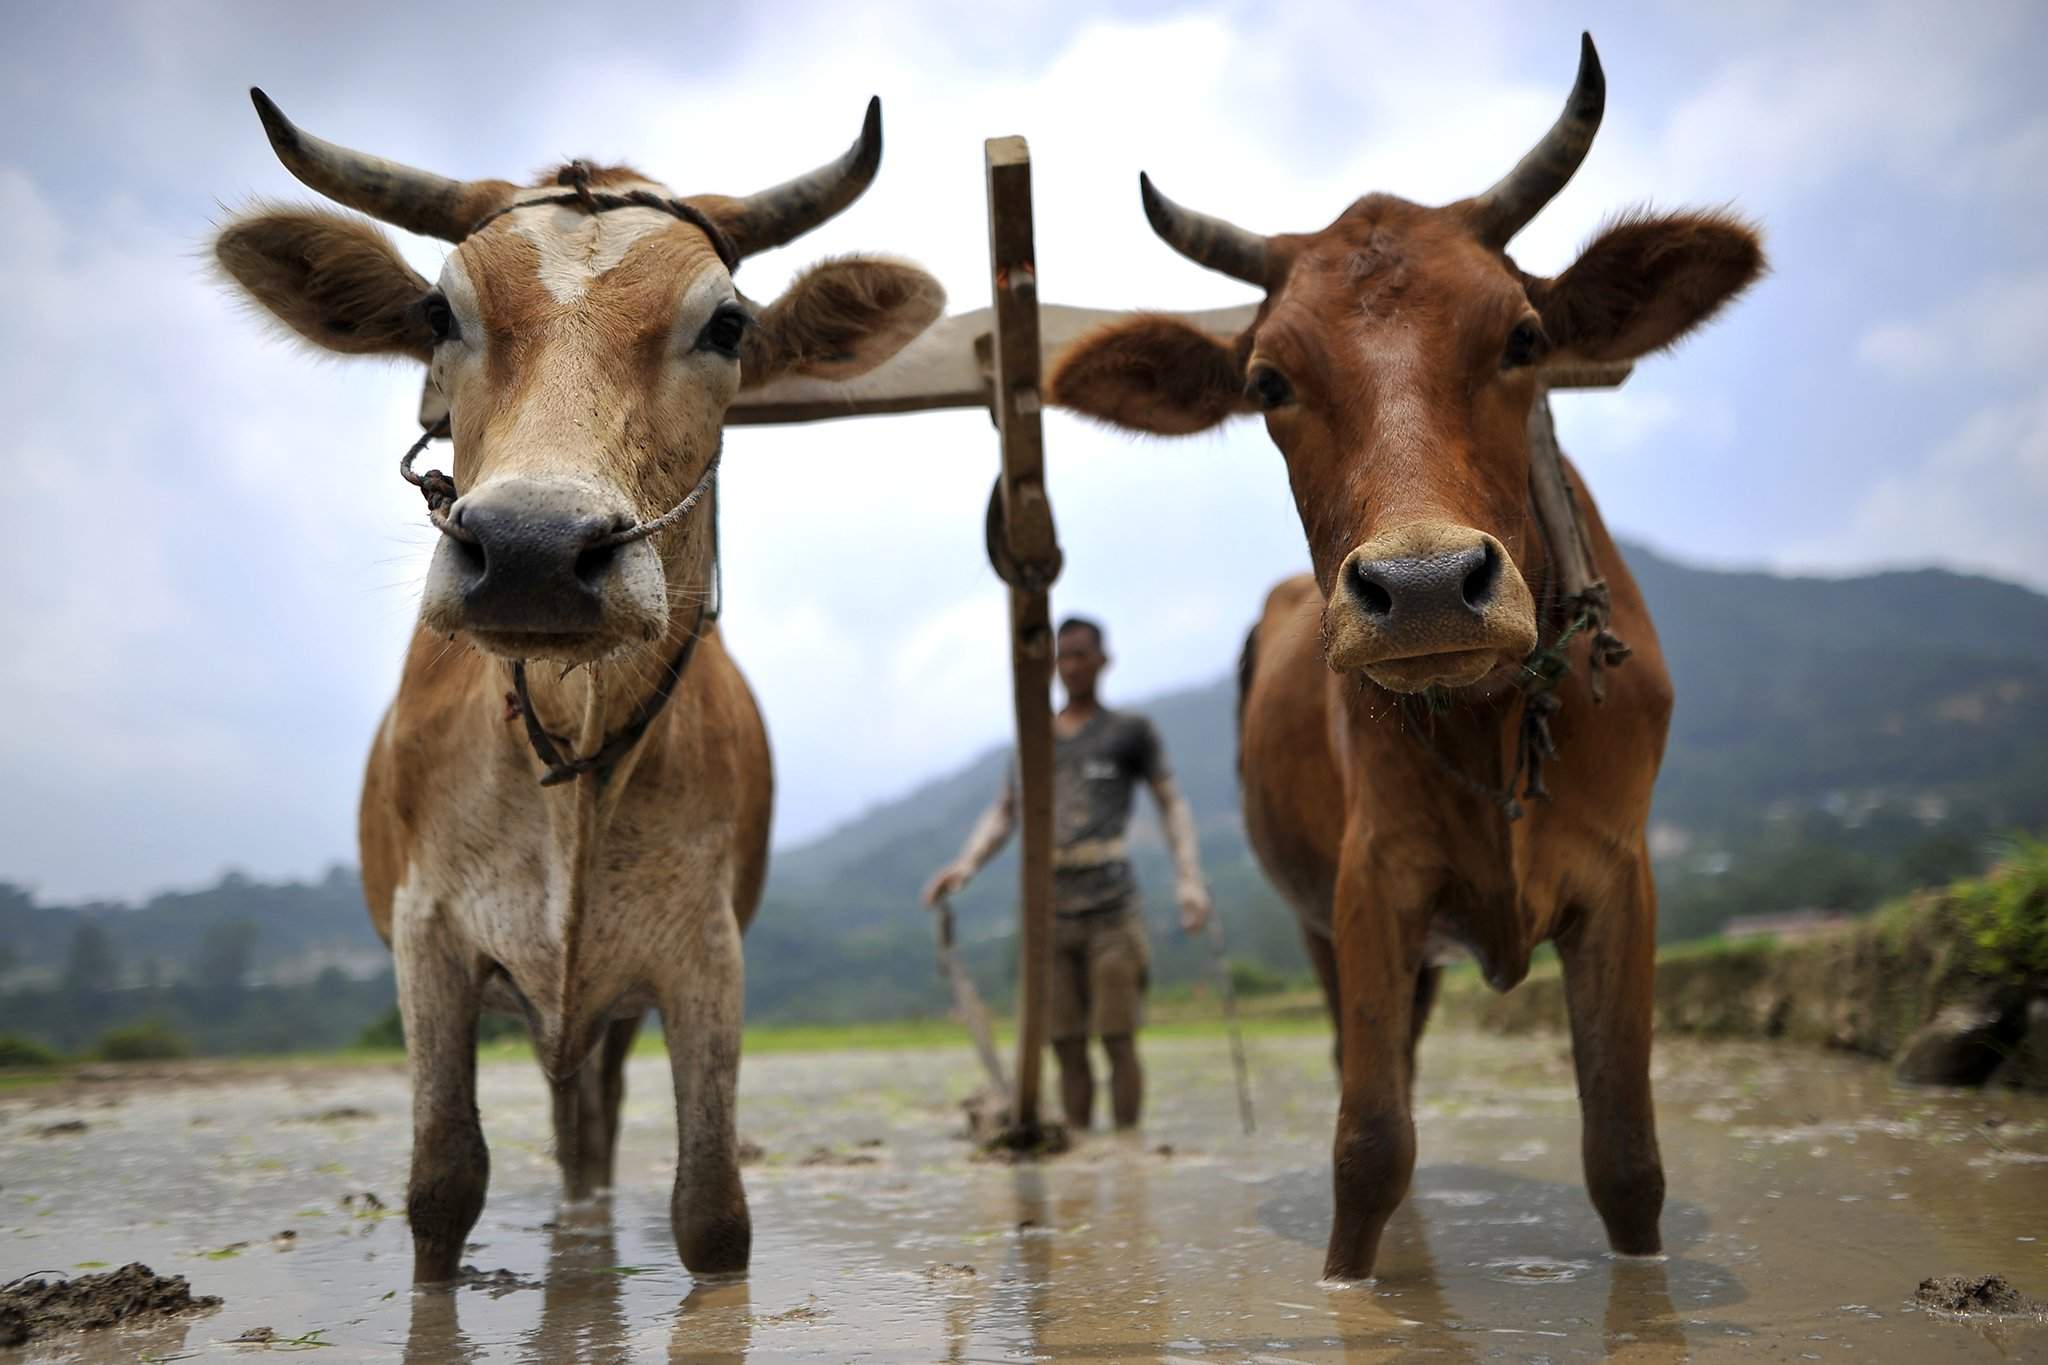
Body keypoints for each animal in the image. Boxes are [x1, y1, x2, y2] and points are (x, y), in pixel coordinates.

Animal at [211, 93, 946, 1285]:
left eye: (726, 326)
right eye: (439, 313)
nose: (531, 551)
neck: (569, 741)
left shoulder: (702, 948)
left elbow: (711, 1209)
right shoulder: (428, 934)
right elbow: (442, 1184)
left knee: (590, 1119)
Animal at [1048, 40, 1769, 1285]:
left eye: (1522, 338)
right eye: (1267, 382)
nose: (1426, 586)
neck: (1489, 716)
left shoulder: (1619, 875)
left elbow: (1625, 1156)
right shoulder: (1367, 883)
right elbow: (1368, 1142)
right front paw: (1353, 1283)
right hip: (1317, 925)